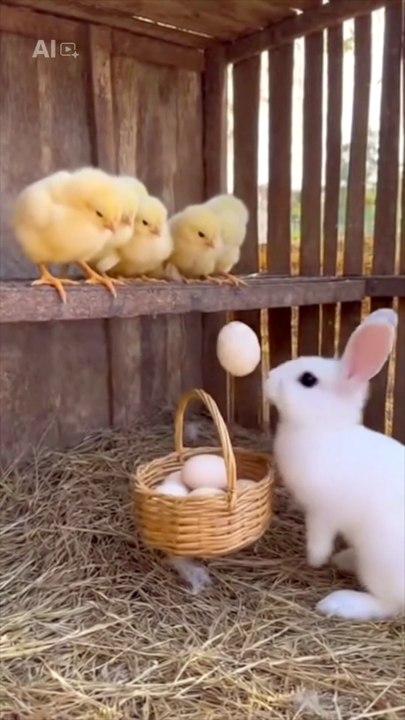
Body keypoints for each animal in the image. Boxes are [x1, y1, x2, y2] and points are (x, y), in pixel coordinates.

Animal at [264, 308, 405, 621]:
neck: (324, 429)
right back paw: (345, 559)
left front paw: (314, 560)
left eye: (308, 379)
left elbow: (319, 539)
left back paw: (339, 602)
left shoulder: (322, 512)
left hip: (379, 561)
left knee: (390, 604)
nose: (268, 377)